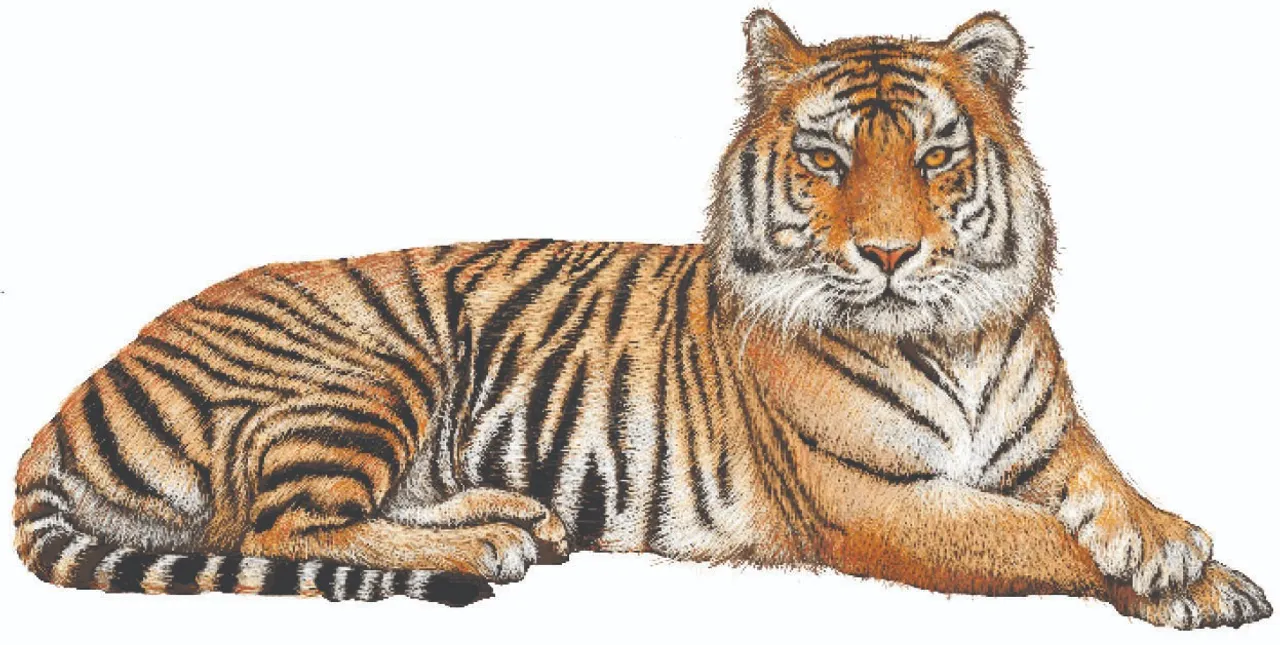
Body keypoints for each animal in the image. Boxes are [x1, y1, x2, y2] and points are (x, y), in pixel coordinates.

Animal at [12, 10, 1271, 629]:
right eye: (824, 161)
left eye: (932, 158)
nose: (887, 254)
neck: (951, 334)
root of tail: (65, 408)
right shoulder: (875, 501)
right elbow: (1034, 538)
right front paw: (1183, 580)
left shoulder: (1050, 441)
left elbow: (1103, 488)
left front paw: (1179, 551)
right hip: (364, 366)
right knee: (276, 526)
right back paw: (482, 546)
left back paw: (515, 516)